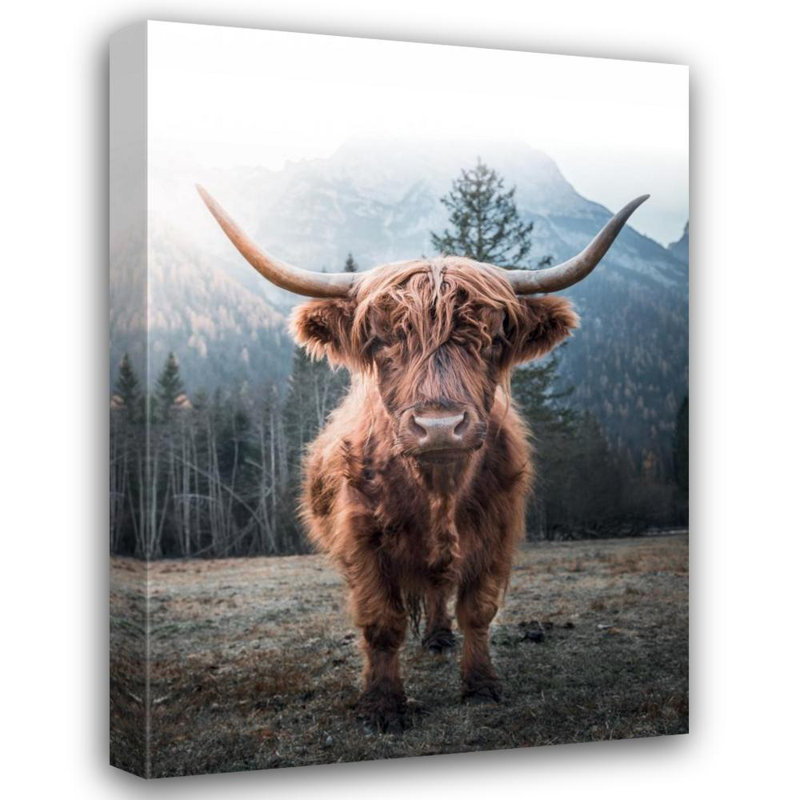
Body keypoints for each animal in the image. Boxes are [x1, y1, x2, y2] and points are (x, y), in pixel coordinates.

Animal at [198, 185, 647, 732]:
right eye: (381, 339)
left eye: (492, 338)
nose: (439, 426)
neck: (438, 489)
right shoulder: (362, 540)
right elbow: (382, 622)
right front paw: (382, 704)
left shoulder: (498, 532)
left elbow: (477, 610)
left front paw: (481, 685)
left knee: (439, 588)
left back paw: (437, 637)